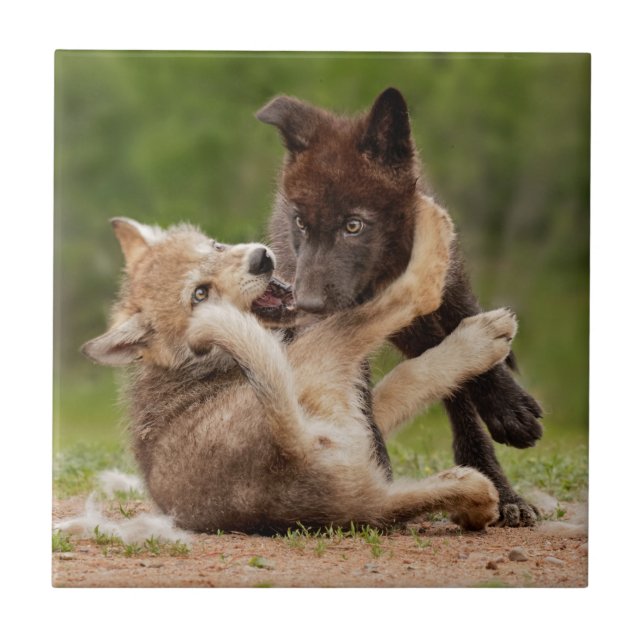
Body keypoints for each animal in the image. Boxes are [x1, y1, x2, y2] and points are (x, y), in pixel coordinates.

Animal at [81, 197, 518, 533]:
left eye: (216, 246)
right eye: (200, 294)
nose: (261, 259)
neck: (201, 364)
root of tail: (289, 450)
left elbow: (404, 385)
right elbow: (414, 366)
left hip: (369, 489)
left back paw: (476, 498)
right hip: (326, 350)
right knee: (412, 295)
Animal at [257, 87, 543, 527]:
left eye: (353, 225)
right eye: (301, 223)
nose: (305, 303)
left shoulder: (449, 292)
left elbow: (476, 351)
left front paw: (509, 409)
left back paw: (501, 487)